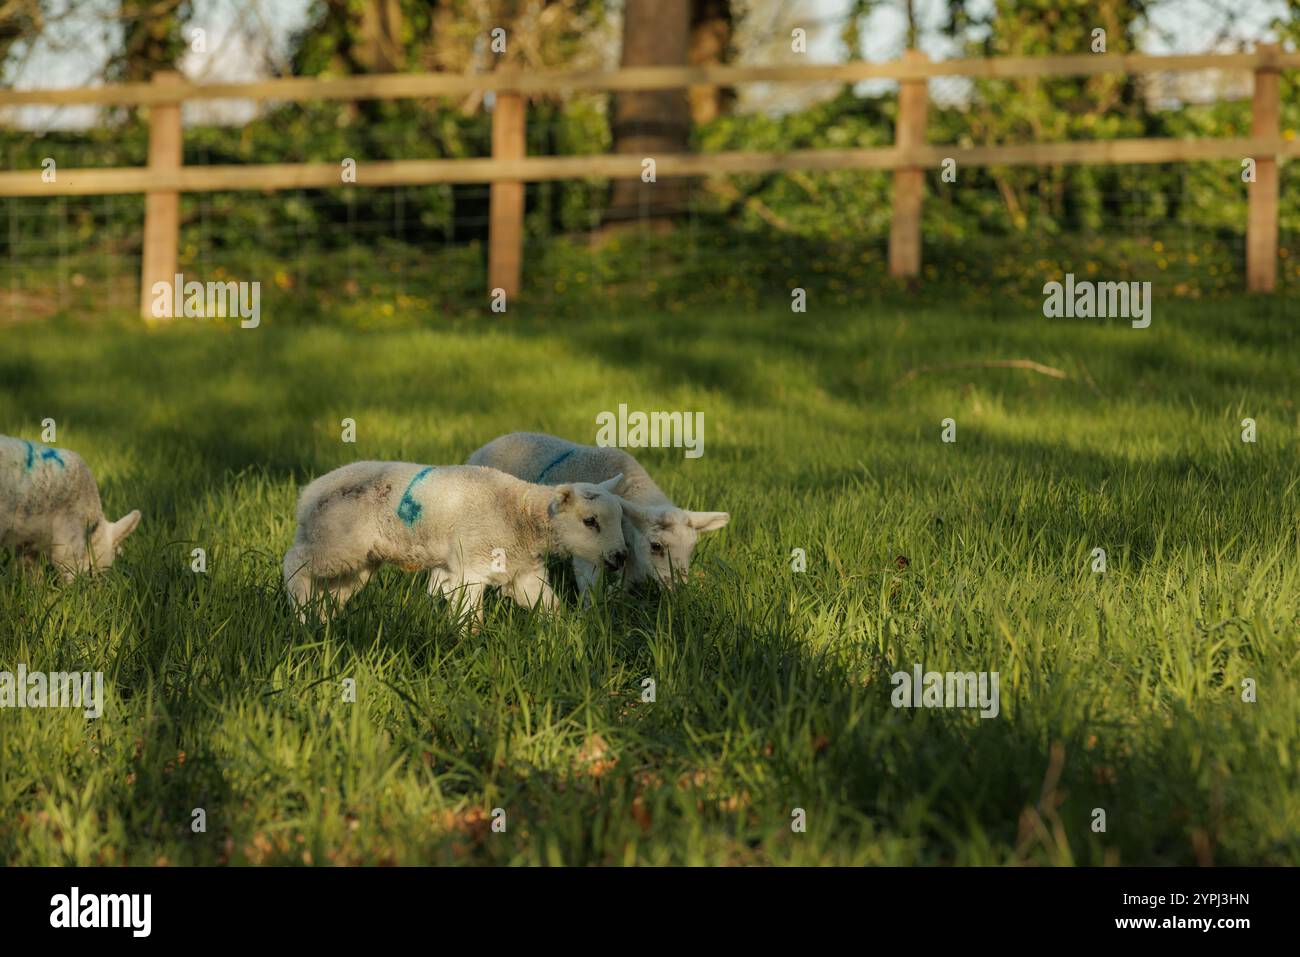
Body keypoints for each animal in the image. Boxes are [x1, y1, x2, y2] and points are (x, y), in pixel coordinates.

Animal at [0, 434, 143, 582]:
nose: (95, 584)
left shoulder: (27, 541)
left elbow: (29, 571)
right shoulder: (70, 530)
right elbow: (68, 566)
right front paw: (72, 587)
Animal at [283, 462, 629, 624]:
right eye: (590, 521)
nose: (621, 557)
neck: (519, 513)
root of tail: (308, 495)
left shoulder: (523, 571)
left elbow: (548, 604)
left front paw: (563, 636)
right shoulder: (472, 565)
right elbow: (469, 614)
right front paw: (468, 644)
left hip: (358, 559)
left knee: (333, 589)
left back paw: (322, 620)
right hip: (336, 539)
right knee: (294, 561)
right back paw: (301, 613)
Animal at [467, 429, 733, 595]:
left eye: (692, 547)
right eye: (656, 546)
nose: (679, 588)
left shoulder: (631, 553)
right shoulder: (589, 547)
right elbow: (589, 585)